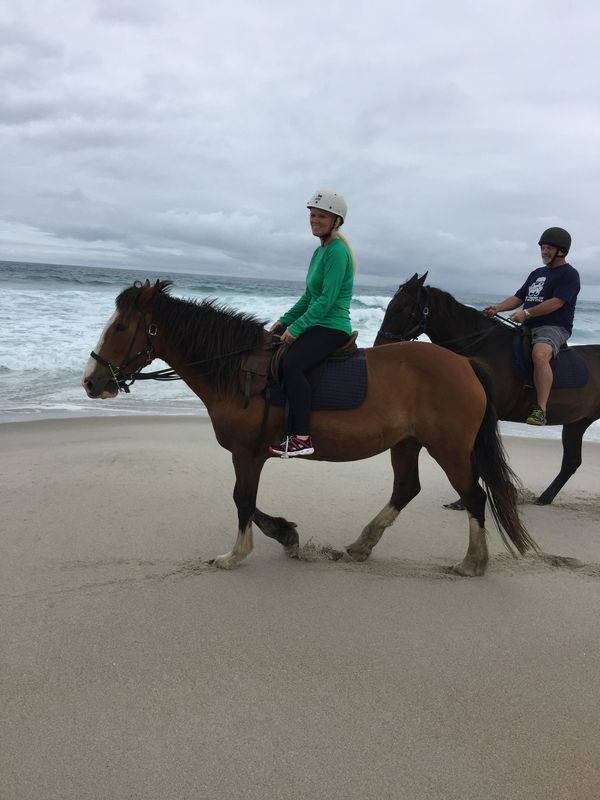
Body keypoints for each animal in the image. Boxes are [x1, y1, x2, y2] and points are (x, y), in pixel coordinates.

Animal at [82, 282, 536, 576]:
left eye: (120, 328)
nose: (91, 381)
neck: (238, 370)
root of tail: (465, 364)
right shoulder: (251, 454)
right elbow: (248, 502)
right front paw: (286, 535)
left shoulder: (247, 454)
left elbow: (242, 500)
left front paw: (236, 555)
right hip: (408, 442)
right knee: (407, 489)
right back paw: (361, 546)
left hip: (450, 447)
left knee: (474, 496)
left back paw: (472, 562)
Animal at [376, 272, 600, 504]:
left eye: (403, 309)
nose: (380, 345)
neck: (483, 346)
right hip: (577, 422)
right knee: (572, 461)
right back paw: (545, 497)